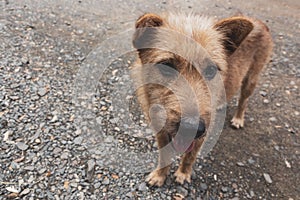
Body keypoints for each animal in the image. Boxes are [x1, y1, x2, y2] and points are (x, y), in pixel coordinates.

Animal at [130, 13, 274, 187]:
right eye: (167, 66)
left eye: (211, 70)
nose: (192, 128)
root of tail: (259, 22)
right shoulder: (160, 129)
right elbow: (164, 156)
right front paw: (160, 175)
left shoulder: (203, 133)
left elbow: (189, 156)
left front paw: (183, 173)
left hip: (250, 80)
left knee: (243, 101)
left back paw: (238, 118)